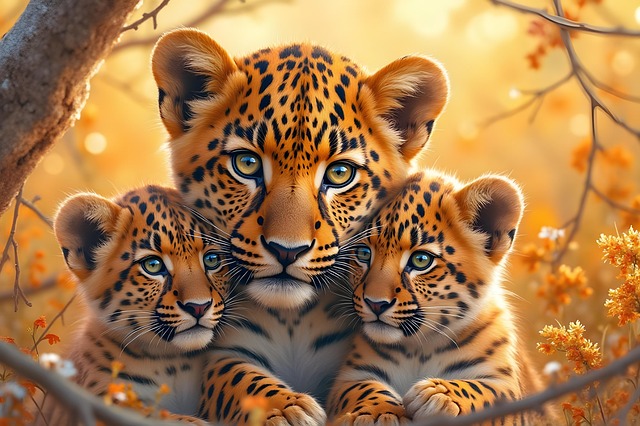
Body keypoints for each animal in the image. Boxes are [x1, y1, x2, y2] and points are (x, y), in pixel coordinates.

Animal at [151, 28, 449, 425]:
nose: (286, 250)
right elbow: (238, 379)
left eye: (340, 173)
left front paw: (380, 412)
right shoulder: (222, 351)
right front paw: (285, 408)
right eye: (246, 164)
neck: (291, 318)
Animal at [327, 169, 550, 425]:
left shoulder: (505, 384)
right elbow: (362, 389)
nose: (375, 304)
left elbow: (484, 391)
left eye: (421, 260)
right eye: (363, 253)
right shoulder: (352, 375)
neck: (419, 349)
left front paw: (437, 396)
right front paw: (378, 413)